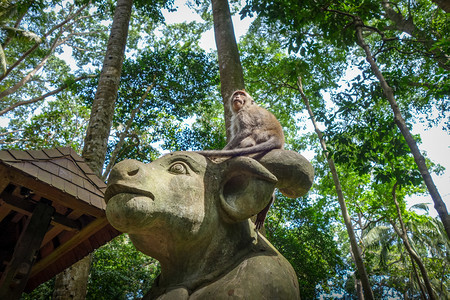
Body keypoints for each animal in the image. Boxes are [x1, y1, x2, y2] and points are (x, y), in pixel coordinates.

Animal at [195, 89, 284, 230]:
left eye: (242, 94)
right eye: (237, 94)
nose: (237, 96)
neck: (245, 106)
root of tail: (278, 136)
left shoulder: (243, 114)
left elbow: (245, 131)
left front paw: (221, 152)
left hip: (261, 134)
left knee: (250, 138)